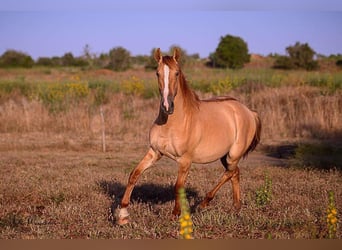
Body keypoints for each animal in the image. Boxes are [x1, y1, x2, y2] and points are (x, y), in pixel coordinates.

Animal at [116, 47, 260, 226]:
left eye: (177, 73)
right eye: (157, 73)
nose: (167, 106)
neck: (173, 124)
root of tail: (248, 111)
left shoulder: (185, 160)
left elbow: (178, 186)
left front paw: (175, 214)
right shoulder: (154, 152)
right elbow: (134, 175)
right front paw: (122, 215)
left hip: (233, 154)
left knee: (229, 173)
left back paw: (203, 204)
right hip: (224, 156)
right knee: (235, 173)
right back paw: (235, 207)